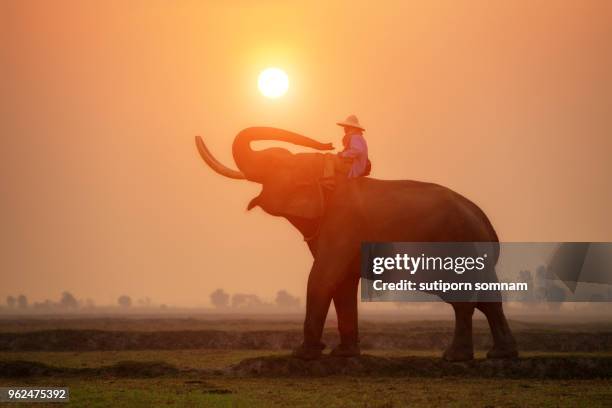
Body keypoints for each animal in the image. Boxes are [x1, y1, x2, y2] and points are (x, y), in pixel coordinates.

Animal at [195, 126, 516, 360]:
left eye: (275, 160)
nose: (328, 143)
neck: (324, 175)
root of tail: (483, 219)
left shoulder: (343, 224)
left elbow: (323, 276)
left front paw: (303, 354)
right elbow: (343, 284)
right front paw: (343, 354)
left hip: (455, 245)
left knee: (465, 300)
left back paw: (455, 357)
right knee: (489, 299)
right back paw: (500, 356)